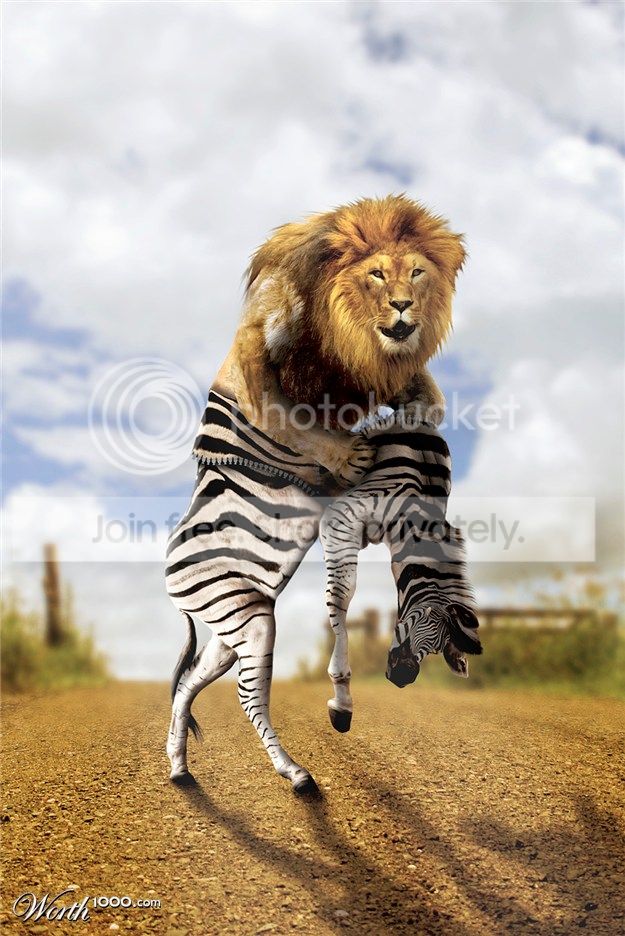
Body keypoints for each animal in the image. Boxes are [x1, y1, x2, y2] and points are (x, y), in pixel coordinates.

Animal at [165, 389, 371, 794]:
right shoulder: (316, 494)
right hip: (251, 623)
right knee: (249, 696)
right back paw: (295, 774)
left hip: (234, 626)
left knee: (189, 680)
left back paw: (178, 766)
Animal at [213, 194, 466, 488]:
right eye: (377, 273)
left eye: (416, 272)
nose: (402, 304)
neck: (346, 330)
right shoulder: (256, 346)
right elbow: (280, 417)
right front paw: (349, 457)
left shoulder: (375, 367)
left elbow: (433, 399)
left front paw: (413, 415)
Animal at [319, 410, 482, 733]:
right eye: (428, 616)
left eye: (439, 649)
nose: (403, 677)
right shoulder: (343, 516)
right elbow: (342, 594)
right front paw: (342, 698)